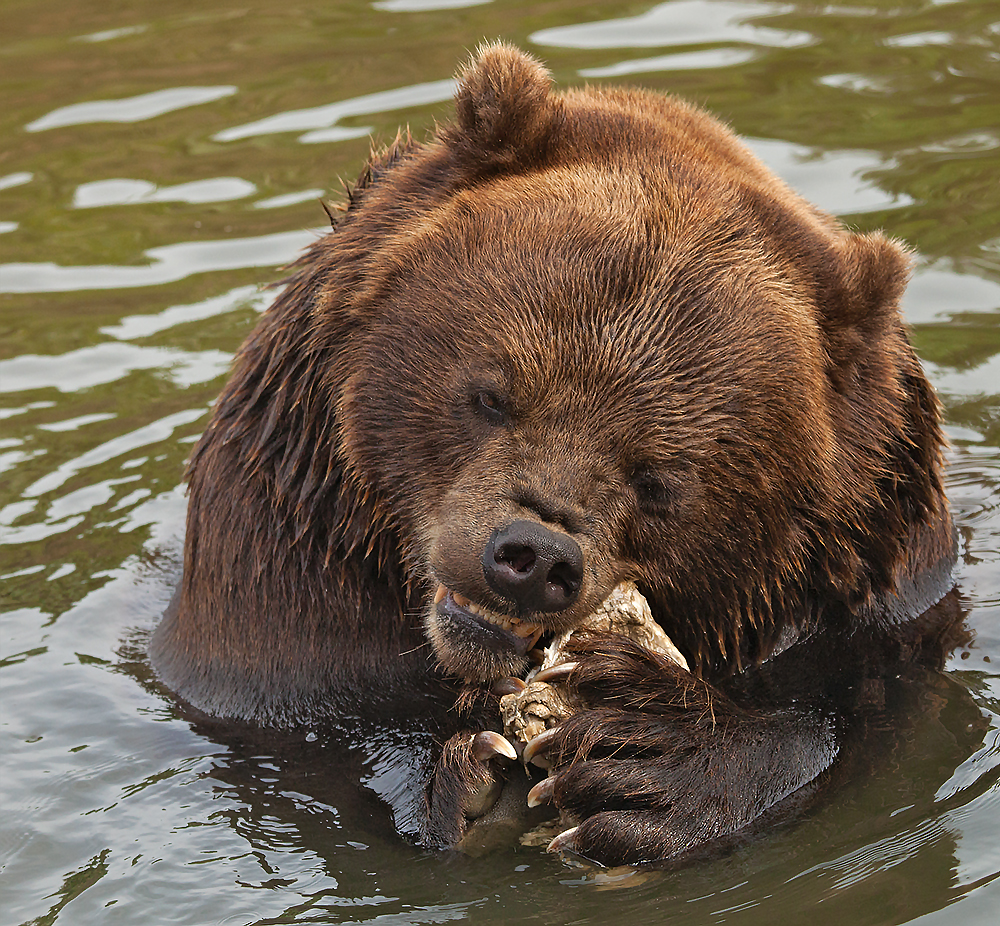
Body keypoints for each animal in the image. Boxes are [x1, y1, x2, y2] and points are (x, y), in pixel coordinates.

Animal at [150, 45, 960, 872]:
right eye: (492, 394)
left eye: (661, 479)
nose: (533, 556)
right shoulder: (292, 548)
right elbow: (313, 728)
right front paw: (466, 774)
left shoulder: (872, 564)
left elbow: (871, 715)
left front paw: (648, 762)